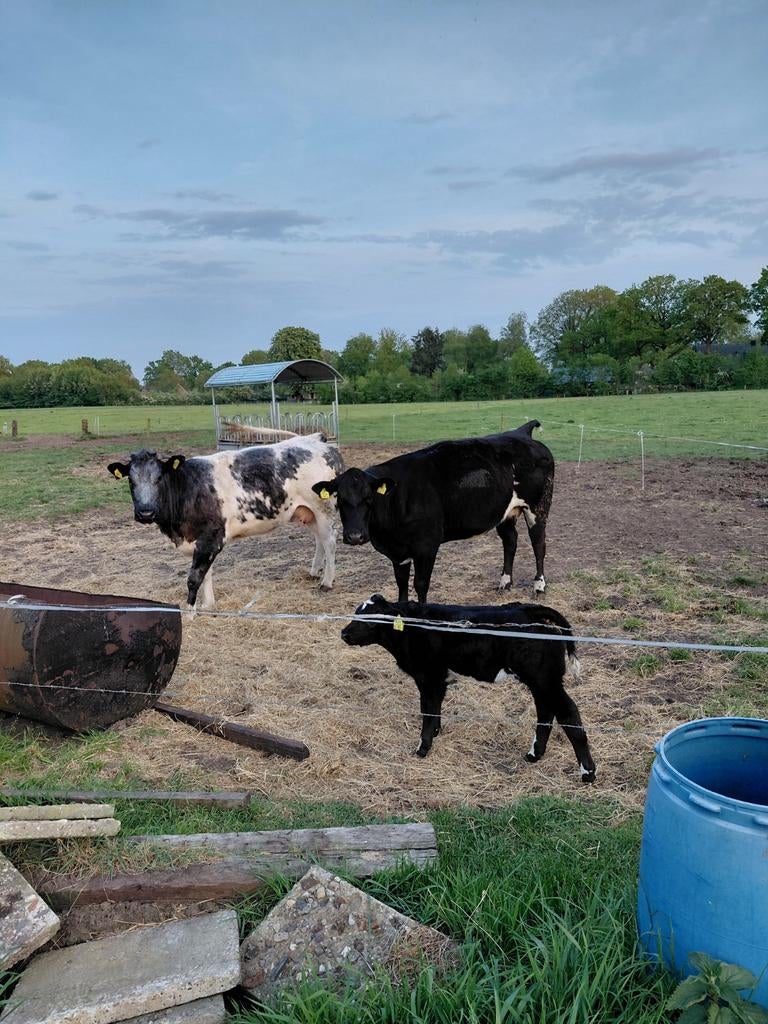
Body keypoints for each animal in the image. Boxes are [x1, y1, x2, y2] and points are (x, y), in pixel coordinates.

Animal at [107, 433, 343, 610]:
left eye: (159, 478)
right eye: (131, 480)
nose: (145, 513)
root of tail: (320, 441)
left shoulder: (212, 537)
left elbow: (195, 577)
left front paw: (191, 612)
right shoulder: (200, 541)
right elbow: (205, 573)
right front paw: (207, 604)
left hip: (323, 509)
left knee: (330, 540)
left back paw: (327, 582)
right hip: (307, 512)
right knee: (319, 540)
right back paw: (314, 572)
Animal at [312, 420, 554, 606]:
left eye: (369, 499)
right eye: (339, 499)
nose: (355, 536)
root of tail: (520, 432)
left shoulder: (426, 546)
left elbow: (420, 584)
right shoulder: (398, 551)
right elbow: (401, 583)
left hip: (538, 507)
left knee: (538, 543)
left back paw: (539, 585)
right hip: (506, 512)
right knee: (510, 541)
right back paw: (505, 583)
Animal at [341, 594, 596, 783]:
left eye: (370, 619)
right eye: (356, 613)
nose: (343, 633)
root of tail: (530, 610)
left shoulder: (428, 678)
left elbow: (428, 711)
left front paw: (422, 748)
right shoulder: (438, 681)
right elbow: (434, 710)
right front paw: (436, 733)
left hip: (545, 680)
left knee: (568, 714)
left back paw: (588, 772)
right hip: (540, 682)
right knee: (545, 712)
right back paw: (534, 754)